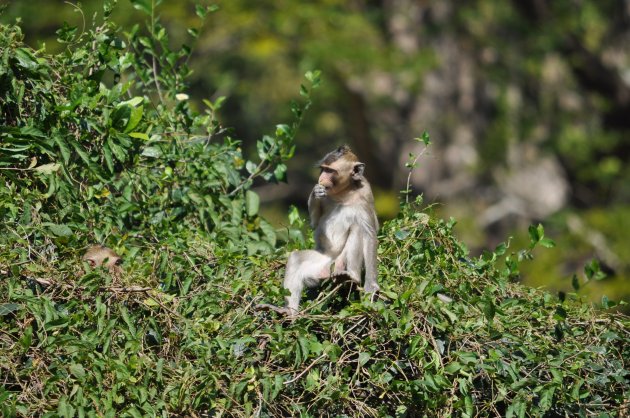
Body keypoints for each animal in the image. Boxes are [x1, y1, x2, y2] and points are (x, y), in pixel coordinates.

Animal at [286, 145, 382, 316]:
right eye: (323, 169)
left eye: (330, 171)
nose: (322, 178)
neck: (344, 193)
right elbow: (315, 223)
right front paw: (316, 192)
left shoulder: (366, 193)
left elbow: (370, 233)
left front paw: (371, 286)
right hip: (321, 263)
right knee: (296, 258)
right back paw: (288, 313)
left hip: (339, 262)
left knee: (357, 228)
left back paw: (352, 276)